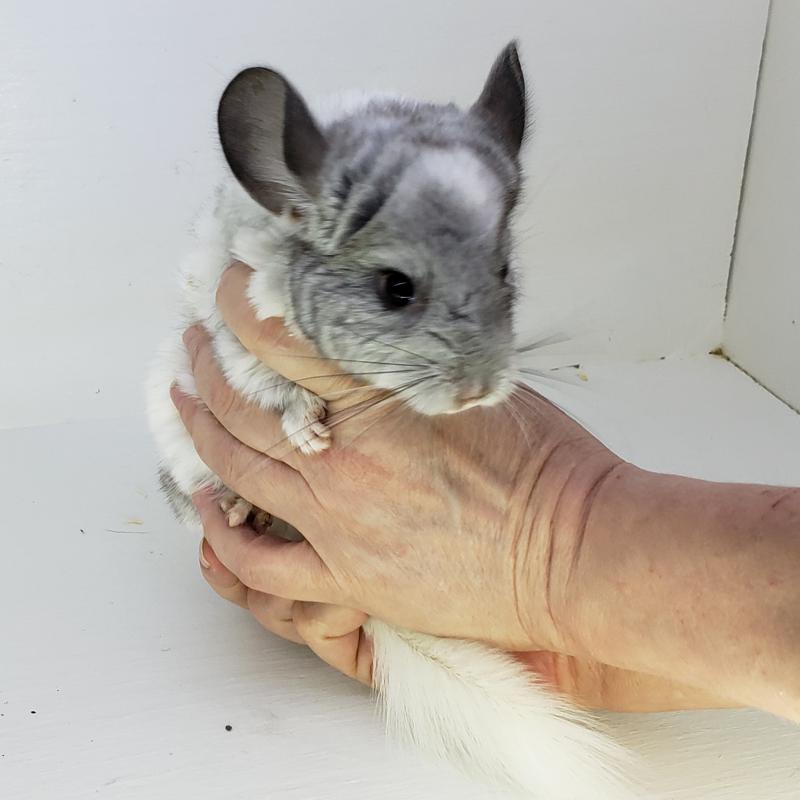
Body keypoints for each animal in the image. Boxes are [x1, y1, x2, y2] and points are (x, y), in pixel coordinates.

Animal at [145, 42, 638, 799]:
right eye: (394, 288)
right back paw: (234, 508)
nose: (477, 391)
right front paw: (309, 433)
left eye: (503, 272)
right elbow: (269, 385)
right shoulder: (234, 342)